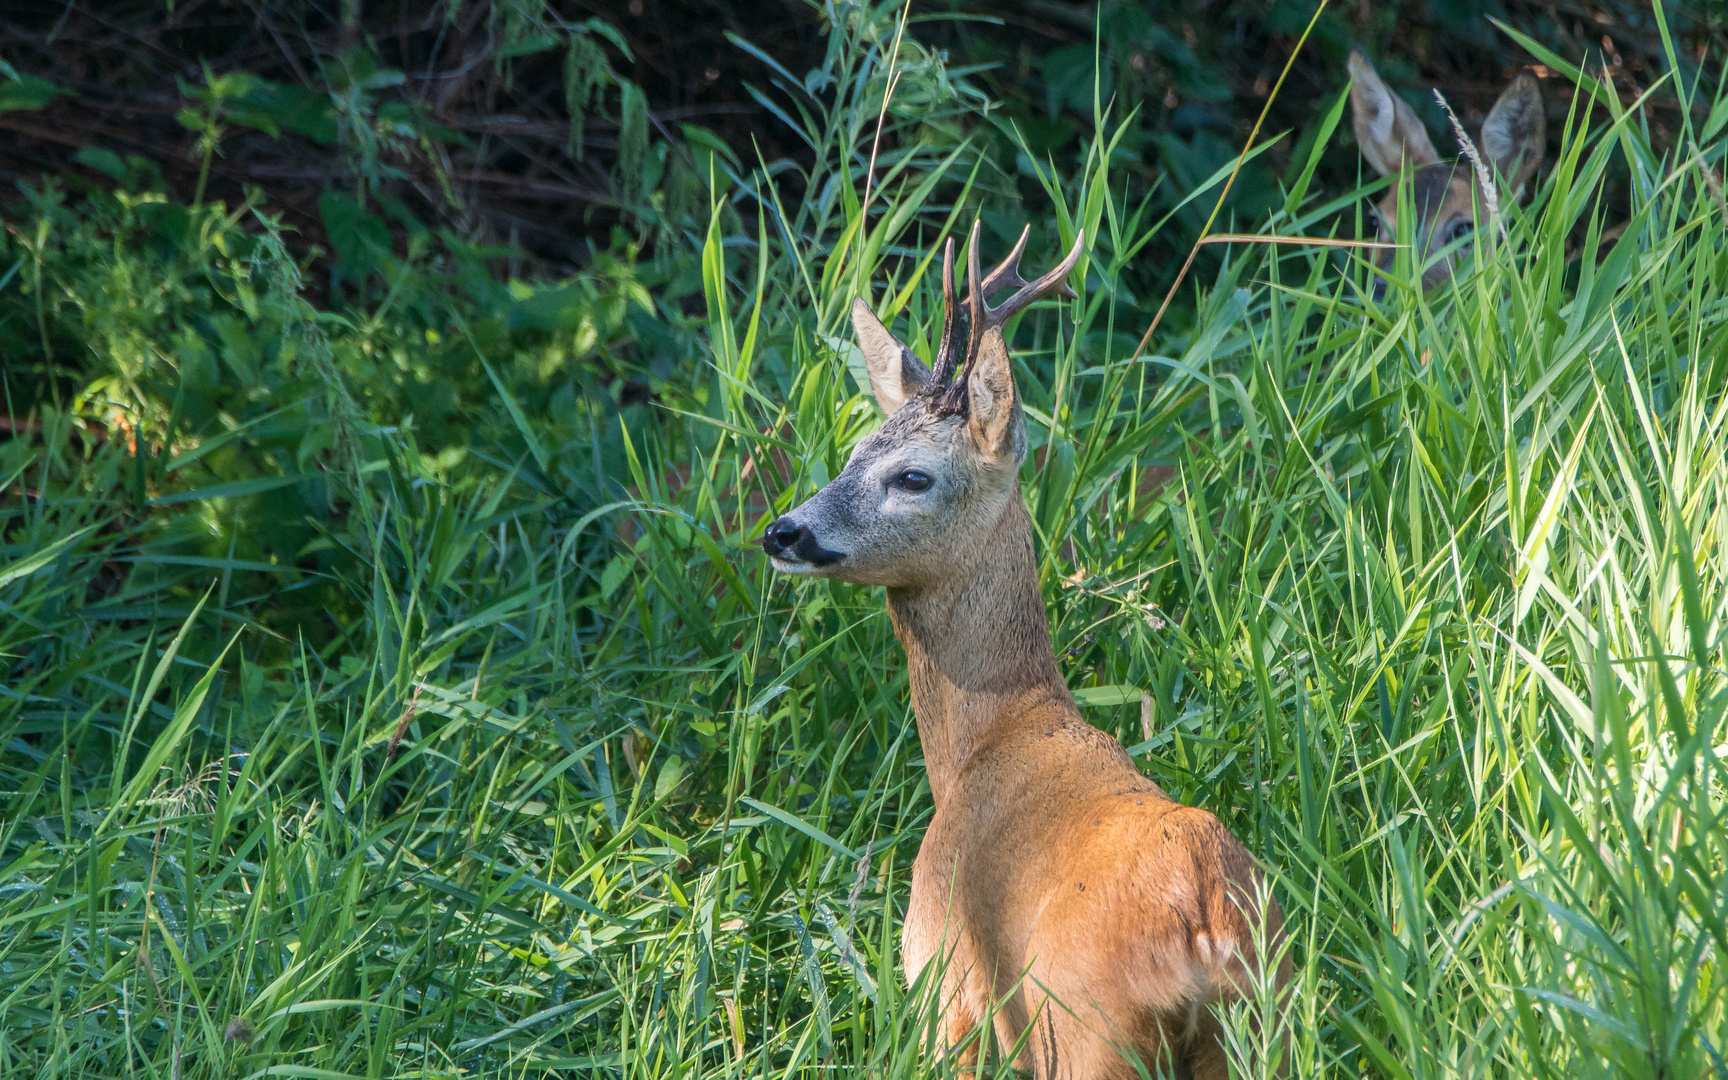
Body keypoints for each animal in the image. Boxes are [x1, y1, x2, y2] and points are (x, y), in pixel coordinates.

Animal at [763, 222, 1292, 1071]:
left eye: (913, 477)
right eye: (851, 453)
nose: (782, 531)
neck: (992, 740)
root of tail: (1205, 929)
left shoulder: (945, 983)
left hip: (1086, 1031)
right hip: (1267, 1026)